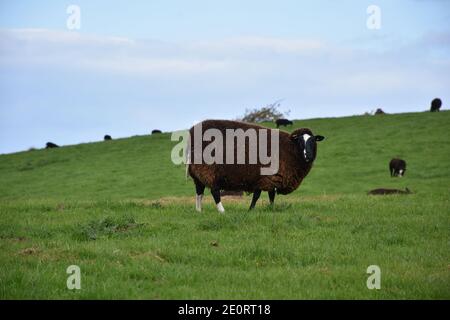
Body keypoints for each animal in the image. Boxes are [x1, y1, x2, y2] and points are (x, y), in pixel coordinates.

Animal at [185, 120, 326, 212]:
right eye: (300, 142)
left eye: (313, 141)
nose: (308, 156)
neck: (290, 149)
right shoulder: (264, 177)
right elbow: (257, 196)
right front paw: (251, 210)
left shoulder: (273, 178)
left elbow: (271, 196)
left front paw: (271, 209)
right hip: (209, 170)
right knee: (214, 192)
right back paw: (222, 211)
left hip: (198, 173)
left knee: (199, 192)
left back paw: (199, 211)